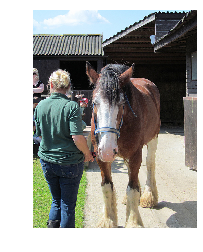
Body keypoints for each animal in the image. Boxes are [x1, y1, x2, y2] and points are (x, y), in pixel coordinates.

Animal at [85, 61, 160, 228]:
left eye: (121, 103)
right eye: (94, 102)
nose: (107, 150)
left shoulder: (135, 154)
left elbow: (132, 189)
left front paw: (133, 222)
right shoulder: (100, 157)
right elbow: (107, 187)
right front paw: (108, 220)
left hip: (153, 138)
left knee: (150, 164)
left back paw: (148, 196)